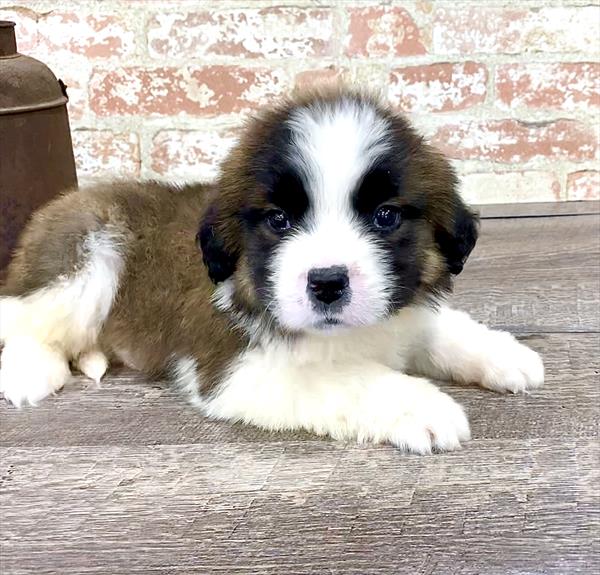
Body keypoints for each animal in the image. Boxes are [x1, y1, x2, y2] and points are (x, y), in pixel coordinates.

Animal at [0, 88, 544, 454]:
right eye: (279, 220)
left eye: (385, 216)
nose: (327, 283)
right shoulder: (237, 367)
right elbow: (346, 377)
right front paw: (420, 405)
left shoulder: (402, 315)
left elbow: (438, 327)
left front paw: (503, 353)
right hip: (83, 257)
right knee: (23, 320)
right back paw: (30, 371)